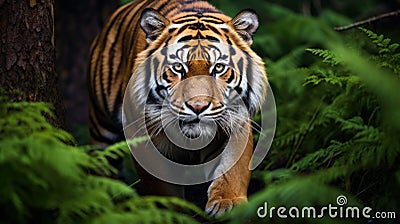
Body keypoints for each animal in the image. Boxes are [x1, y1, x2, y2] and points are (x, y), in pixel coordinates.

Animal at [89, 0, 268, 217]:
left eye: (218, 68)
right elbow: (161, 185)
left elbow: (235, 168)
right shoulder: (142, 136)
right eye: (177, 67)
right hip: (101, 127)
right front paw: (171, 212)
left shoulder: (237, 120)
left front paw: (228, 202)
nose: (198, 106)